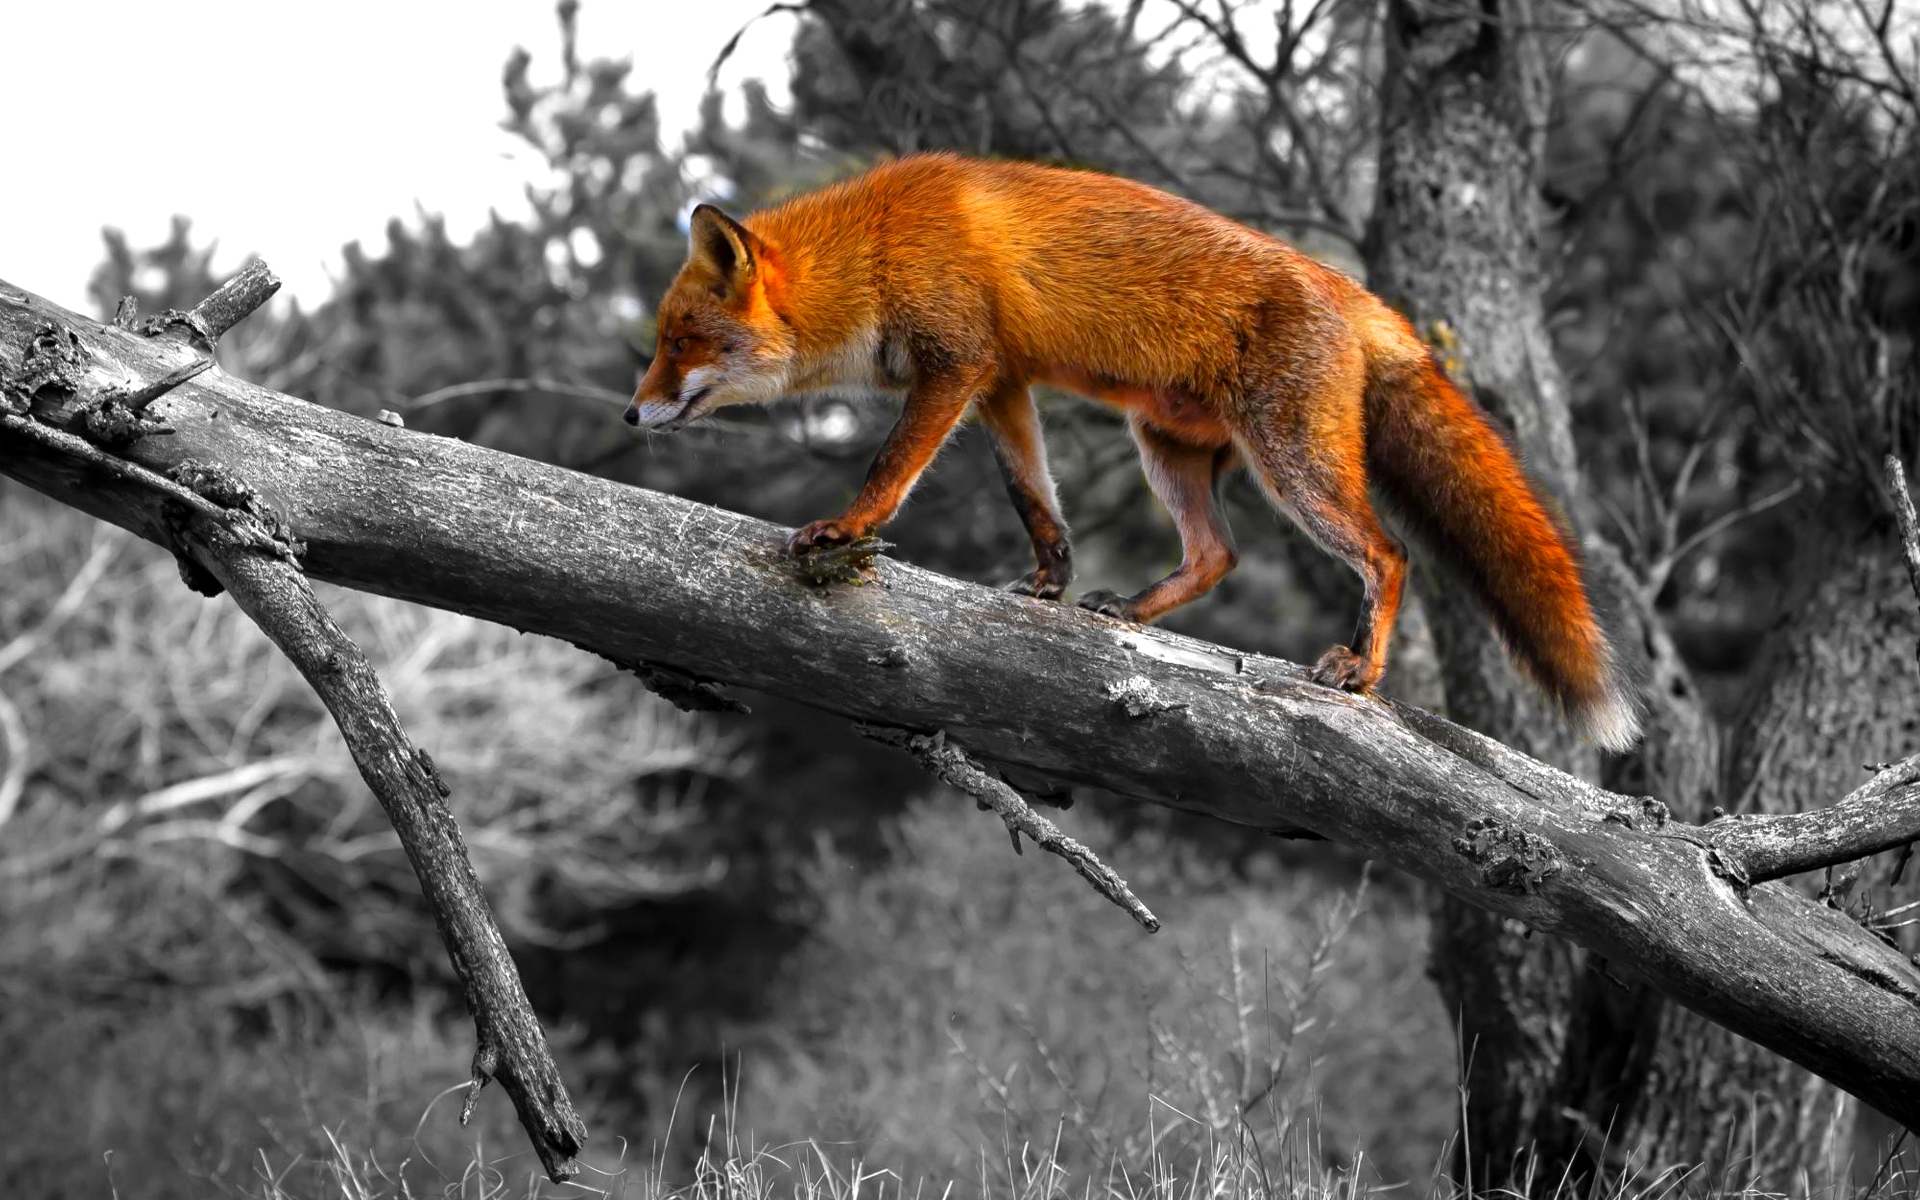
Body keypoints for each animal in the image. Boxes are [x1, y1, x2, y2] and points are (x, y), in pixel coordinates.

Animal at [626, 153, 1642, 752]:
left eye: (679, 342)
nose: (631, 416)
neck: (876, 248)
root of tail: (1355, 294)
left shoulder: (956, 365)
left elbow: (889, 470)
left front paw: (844, 530)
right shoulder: (1002, 382)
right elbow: (1034, 497)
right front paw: (1050, 582)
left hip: (1292, 466)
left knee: (1387, 553)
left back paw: (1360, 671)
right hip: (1167, 448)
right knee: (1217, 554)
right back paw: (1134, 612)